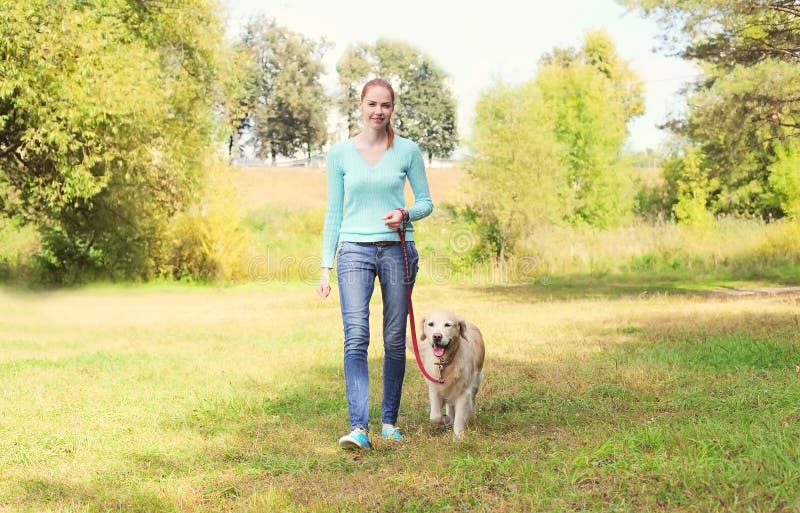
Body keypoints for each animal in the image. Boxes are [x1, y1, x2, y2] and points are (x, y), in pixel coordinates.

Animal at [416, 306, 484, 438]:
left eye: (448, 325)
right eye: (431, 324)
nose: (437, 336)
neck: (445, 363)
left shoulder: (464, 391)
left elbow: (460, 417)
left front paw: (458, 437)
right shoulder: (434, 389)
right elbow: (435, 416)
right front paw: (445, 419)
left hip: (476, 382)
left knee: (472, 401)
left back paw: (471, 415)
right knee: (449, 405)